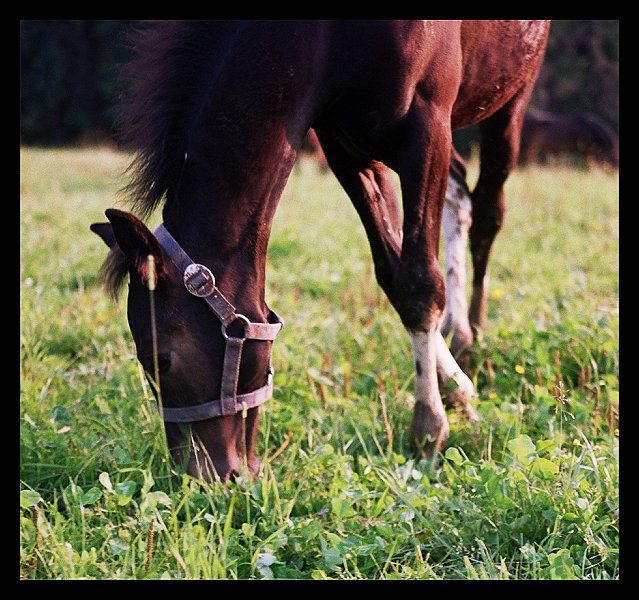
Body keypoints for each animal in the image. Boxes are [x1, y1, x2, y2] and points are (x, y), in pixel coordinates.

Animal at [90, 19, 552, 482]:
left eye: (161, 360)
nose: (202, 475)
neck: (327, 36)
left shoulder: (426, 129)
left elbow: (420, 281)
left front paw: (428, 428)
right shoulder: (346, 146)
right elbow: (394, 275)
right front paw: (455, 390)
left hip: (509, 100)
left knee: (487, 212)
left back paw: (474, 327)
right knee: (459, 191)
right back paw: (460, 339)